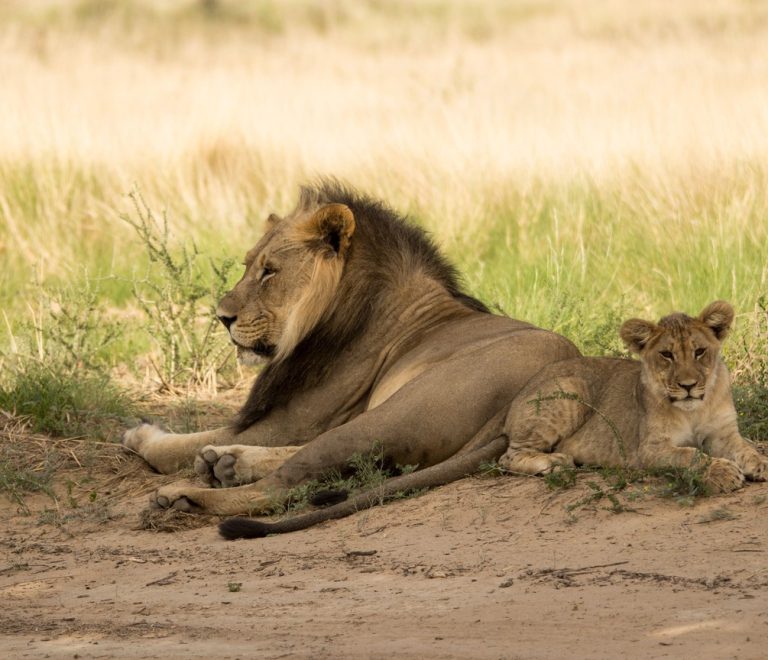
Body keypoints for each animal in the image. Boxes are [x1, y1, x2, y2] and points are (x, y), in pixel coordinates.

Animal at [123, 182, 579, 537]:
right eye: (247, 265)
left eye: (270, 271)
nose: (222, 317)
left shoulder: (291, 421)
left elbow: (174, 448)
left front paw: (141, 435)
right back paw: (227, 462)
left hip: (395, 413)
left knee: (282, 485)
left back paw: (186, 495)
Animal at [496, 301, 768, 492]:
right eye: (667, 355)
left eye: (699, 351)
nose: (688, 385)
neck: (695, 410)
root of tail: (524, 388)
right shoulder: (650, 448)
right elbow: (691, 455)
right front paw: (723, 472)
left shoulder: (722, 434)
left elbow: (746, 450)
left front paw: (762, 463)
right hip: (570, 388)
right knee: (508, 457)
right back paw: (557, 461)